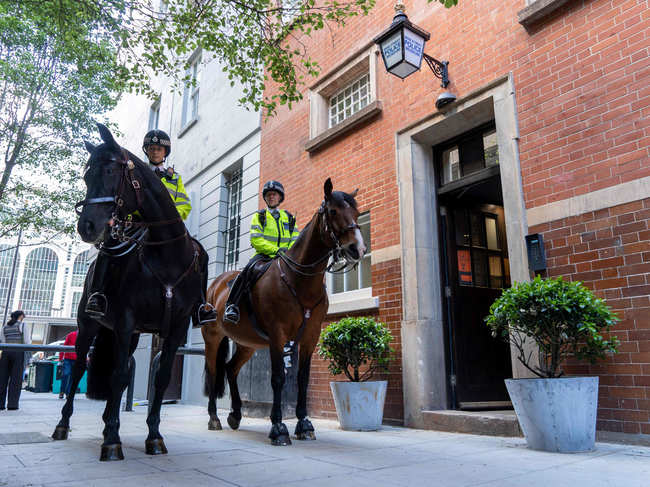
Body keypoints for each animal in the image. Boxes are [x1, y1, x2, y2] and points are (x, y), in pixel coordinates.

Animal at [53, 125, 210, 462]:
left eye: (111, 171)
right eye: (86, 175)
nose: (87, 227)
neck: (166, 255)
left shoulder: (175, 327)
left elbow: (159, 378)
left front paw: (154, 436)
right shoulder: (125, 321)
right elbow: (118, 376)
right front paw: (112, 440)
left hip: (133, 334)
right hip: (89, 327)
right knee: (81, 368)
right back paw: (64, 425)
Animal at [202, 179, 364, 446]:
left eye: (357, 212)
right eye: (333, 211)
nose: (357, 248)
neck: (299, 280)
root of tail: (216, 284)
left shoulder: (310, 336)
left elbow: (302, 379)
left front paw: (304, 424)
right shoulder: (278, 336)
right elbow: (278, 378)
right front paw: (278, 427)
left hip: (247, 344)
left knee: (231, 369)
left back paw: (235, 414)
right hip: (212, 337)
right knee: (215, 371)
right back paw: (214, 418)